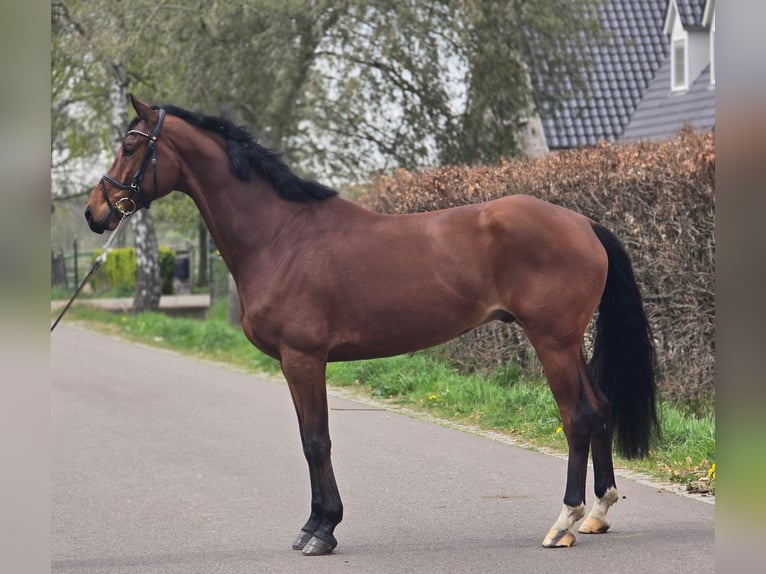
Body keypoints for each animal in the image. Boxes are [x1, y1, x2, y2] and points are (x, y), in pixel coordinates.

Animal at [85, 95, 658, 555]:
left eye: (131, 146)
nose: (96, 212)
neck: (280, 236)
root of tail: (583, 222)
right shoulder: (298, 362)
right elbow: (309, 439)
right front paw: (315, 525)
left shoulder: (303, 358)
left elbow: (316, 441)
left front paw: (322, 531)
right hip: (567, 342)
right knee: (600, 410)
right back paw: (597, 513)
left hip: (551, 341)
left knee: (577, 417)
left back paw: (563, 522)